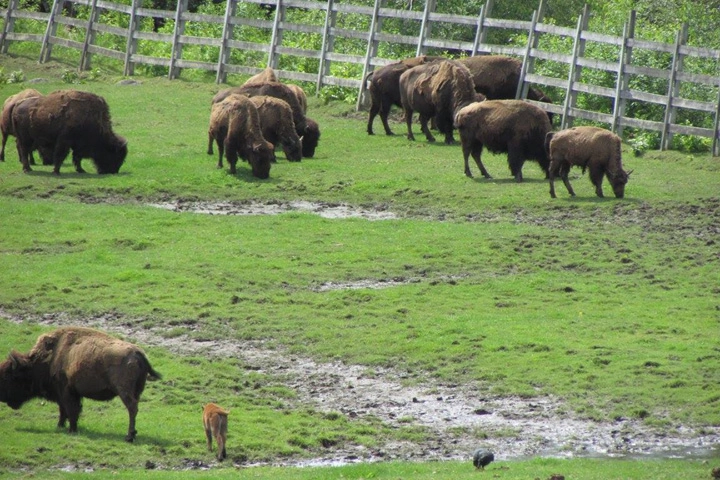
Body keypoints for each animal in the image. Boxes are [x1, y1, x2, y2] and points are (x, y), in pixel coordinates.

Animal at [0, 327, 161, 442]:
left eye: (9, 376)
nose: (2, 398)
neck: (49, 357)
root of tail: (137, 353)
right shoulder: (65, 394)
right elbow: (64, 410)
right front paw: (60, 426)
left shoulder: (66, 391)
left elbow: (71, 410)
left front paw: (71, 429)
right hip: (137, 390)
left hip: (124, 391)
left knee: (132, 408)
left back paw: (129, 436)